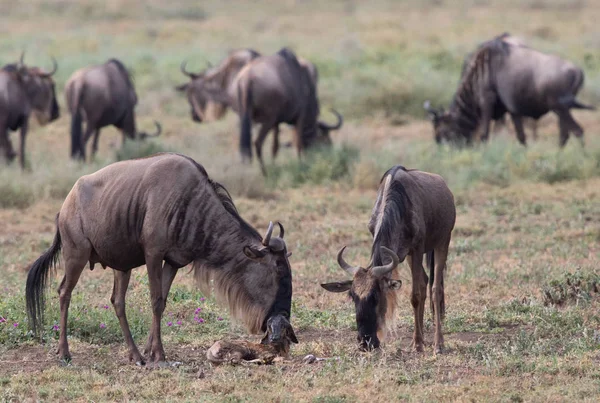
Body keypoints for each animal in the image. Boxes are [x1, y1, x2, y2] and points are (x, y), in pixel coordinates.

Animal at [27, 152, 296, 366]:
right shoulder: (153, 255)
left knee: (117, 301)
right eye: (278, 269)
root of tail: (65, 206)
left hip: (120, 266)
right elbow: (156, 300)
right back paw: (64, 353)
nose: (283, 317)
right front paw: (159, 354)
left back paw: (135, 355)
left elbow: (163, 301)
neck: (193, 204)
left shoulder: (174, 261)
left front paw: (149, 350)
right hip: (76, 255)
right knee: (64, 292)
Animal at [324, 166, 454, 356]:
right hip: (410, 255)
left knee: (435, 288)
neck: (399, 205)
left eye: (376, 296)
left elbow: (415, 295)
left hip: (442, 242)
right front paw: (417, 341)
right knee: (424, 281)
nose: (365, 342)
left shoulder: (417, 248)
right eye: (352, 297)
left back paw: (438, 344)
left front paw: (419, 345)